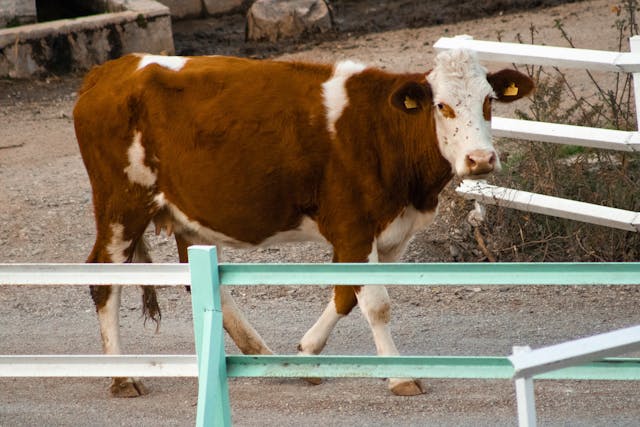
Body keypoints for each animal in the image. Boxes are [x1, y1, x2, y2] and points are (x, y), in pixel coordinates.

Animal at [73, 49, 533, 397]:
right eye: (443, 106)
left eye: (489, 102)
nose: (480, 159)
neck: (382, 131)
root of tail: (109, 70)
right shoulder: (352, 227)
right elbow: (376, 304)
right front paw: (400, 377)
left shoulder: (389, 233)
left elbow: (347, 295)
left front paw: (306, 354)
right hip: (122, 205)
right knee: (104, 278)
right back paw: (123, 378)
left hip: (184, 213)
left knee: (198, 279)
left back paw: (262, 355)